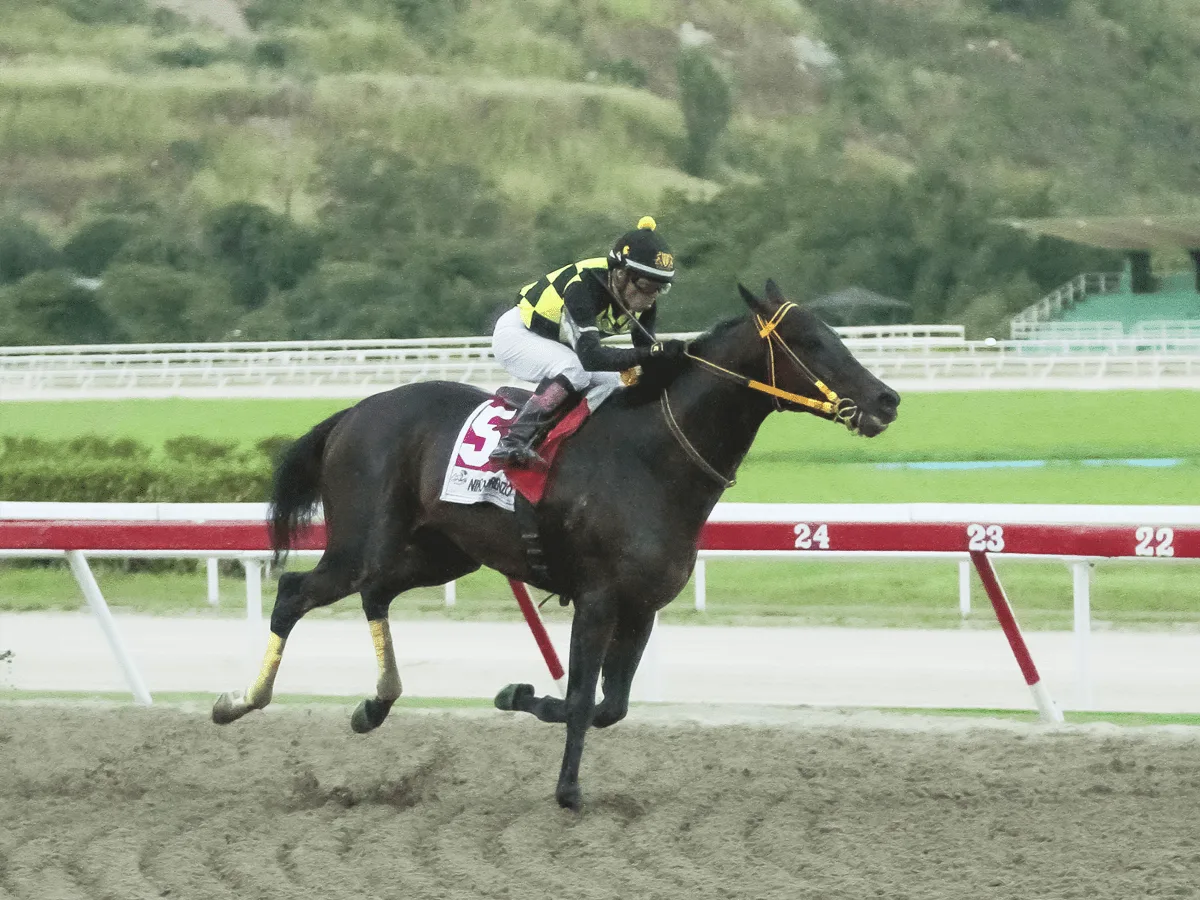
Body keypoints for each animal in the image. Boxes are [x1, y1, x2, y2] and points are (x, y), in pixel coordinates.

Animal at [211, 280, 902, 811]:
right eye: (810, 342)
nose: (887, 399)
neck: (652, 456)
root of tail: (354, 413)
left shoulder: (641, 606)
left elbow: (608, 706)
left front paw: (518, 696)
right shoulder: (597, 598)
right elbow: (578, 700)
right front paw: (567, 790)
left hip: (439, 552)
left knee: (375, 593)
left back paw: (373, 706)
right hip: (360, 543)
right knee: (294, 593)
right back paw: (239, 702)